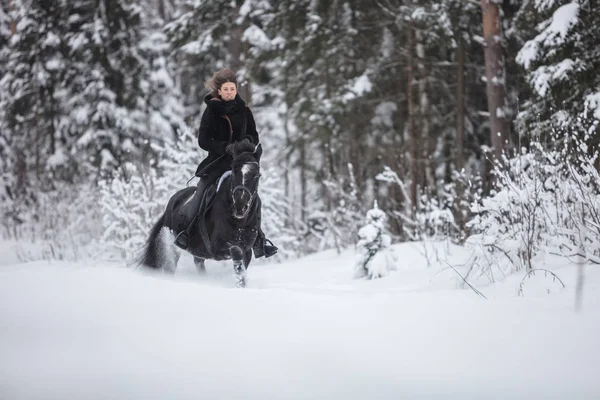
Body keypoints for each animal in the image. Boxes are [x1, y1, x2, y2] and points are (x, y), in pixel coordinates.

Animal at [141, 141, 264, 288]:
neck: (240, 221)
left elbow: (241, 273)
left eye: (257, 175)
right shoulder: (222, 247)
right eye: (234, 172)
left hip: (198, 252)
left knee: (198, 264)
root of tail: (173, 200)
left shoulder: (247, 250)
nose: (240, 206)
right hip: (173, 246)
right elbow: (237, 255)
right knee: (170, 267)